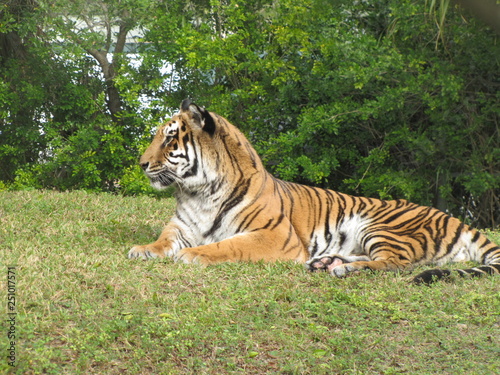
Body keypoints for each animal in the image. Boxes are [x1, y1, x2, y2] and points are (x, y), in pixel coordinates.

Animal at [130, 100, 500, 284]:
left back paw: (342, 269)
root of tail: (456, 219)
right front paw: (143, 249)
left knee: (397, 263)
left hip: (380, 226)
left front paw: (194, 255)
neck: (199, 192)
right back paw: (326, 262)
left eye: (169, 139)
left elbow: (227, 245)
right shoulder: (181, 225)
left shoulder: (274, 236)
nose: (142, 163)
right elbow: (164, 239)